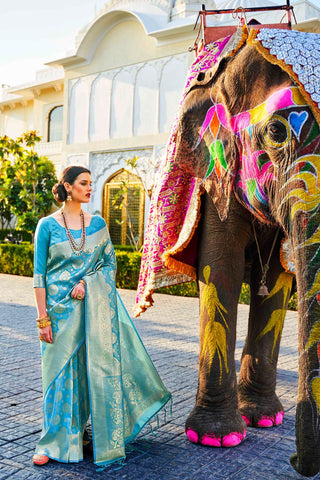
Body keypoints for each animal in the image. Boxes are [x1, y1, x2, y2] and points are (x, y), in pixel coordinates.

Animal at [135, 25, 320, 476]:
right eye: (277, 133)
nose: (294, 460)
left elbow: (277, 284)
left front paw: (263, 420)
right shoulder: (214, 175)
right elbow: (221, 271)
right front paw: (217, 440)